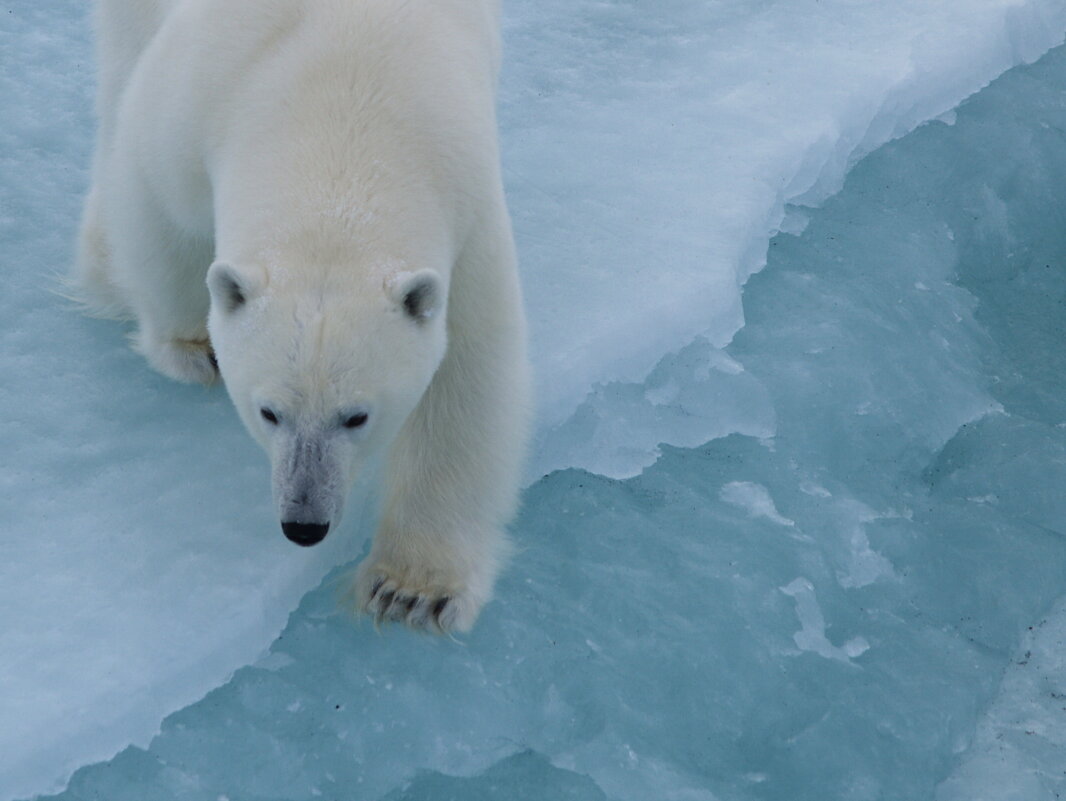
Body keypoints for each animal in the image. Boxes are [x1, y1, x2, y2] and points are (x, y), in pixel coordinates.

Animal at [70, 0, 528, 635]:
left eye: (356, 416)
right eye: (269, 412)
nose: (304, 524)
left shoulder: (466, 212)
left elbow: (467, 376)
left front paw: (412, 591)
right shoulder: (197, 97)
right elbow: (154, 203)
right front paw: (192, 346)